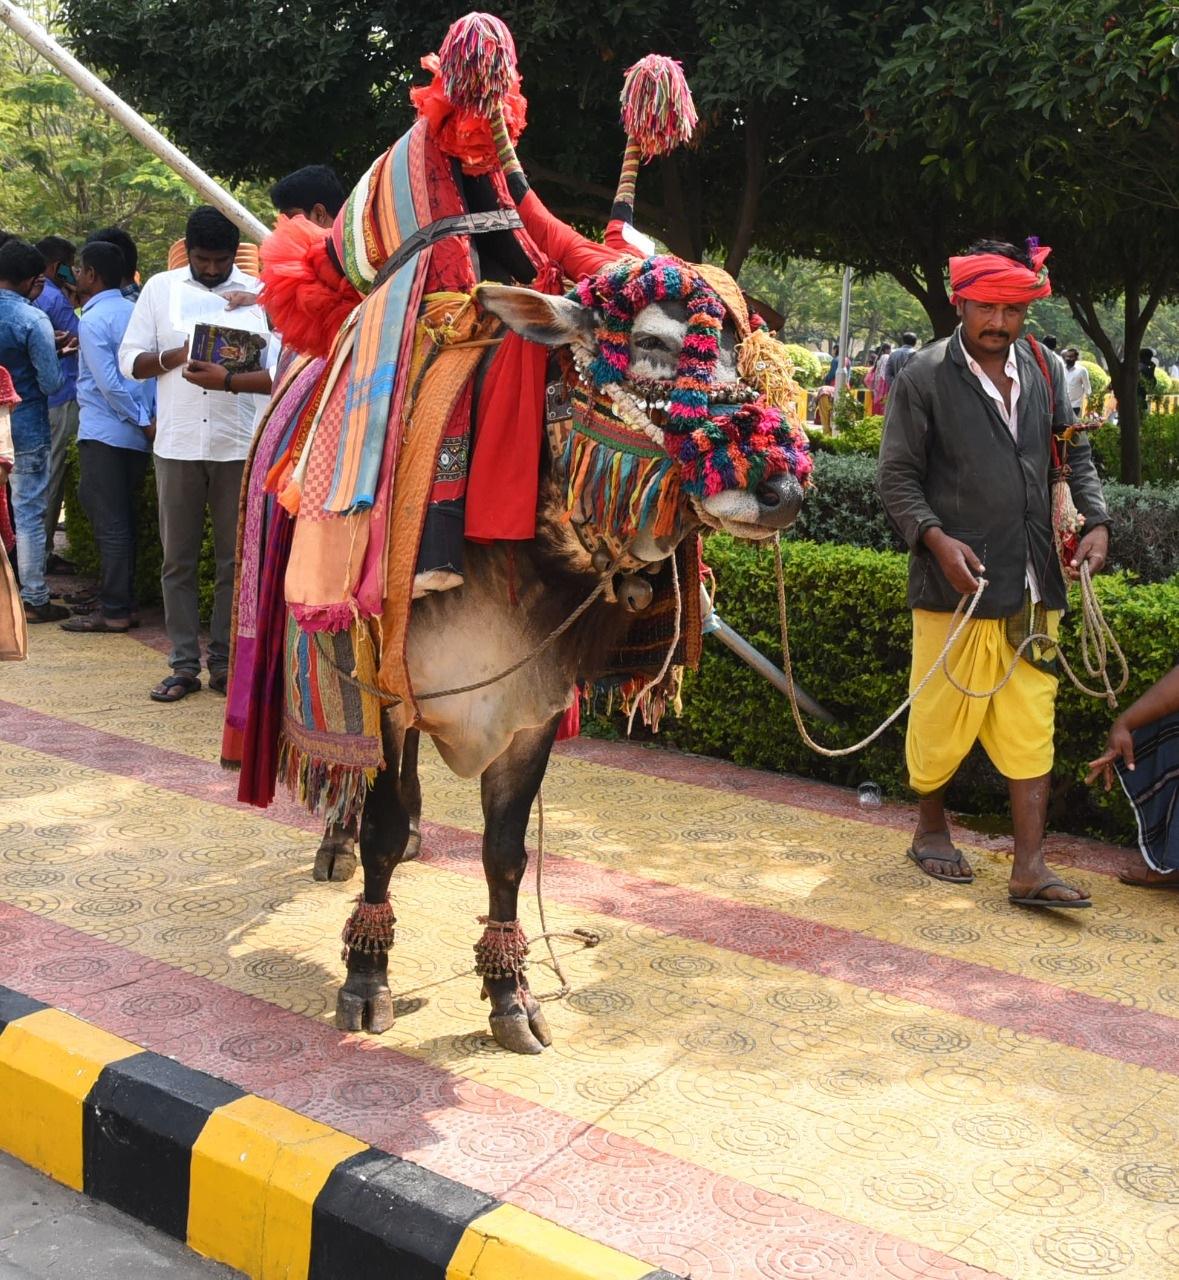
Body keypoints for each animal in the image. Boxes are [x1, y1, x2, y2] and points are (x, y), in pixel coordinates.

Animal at [222, 17, 809, 1049]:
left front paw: (510, 992)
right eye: (650, 343)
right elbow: (382, 822)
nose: (780, 483)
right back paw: (340, 844)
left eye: (742, 354)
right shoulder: (390, 694)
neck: (528, 560)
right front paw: (366, 974)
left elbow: (502, 854)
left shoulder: (532, 719)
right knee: (361, 795)